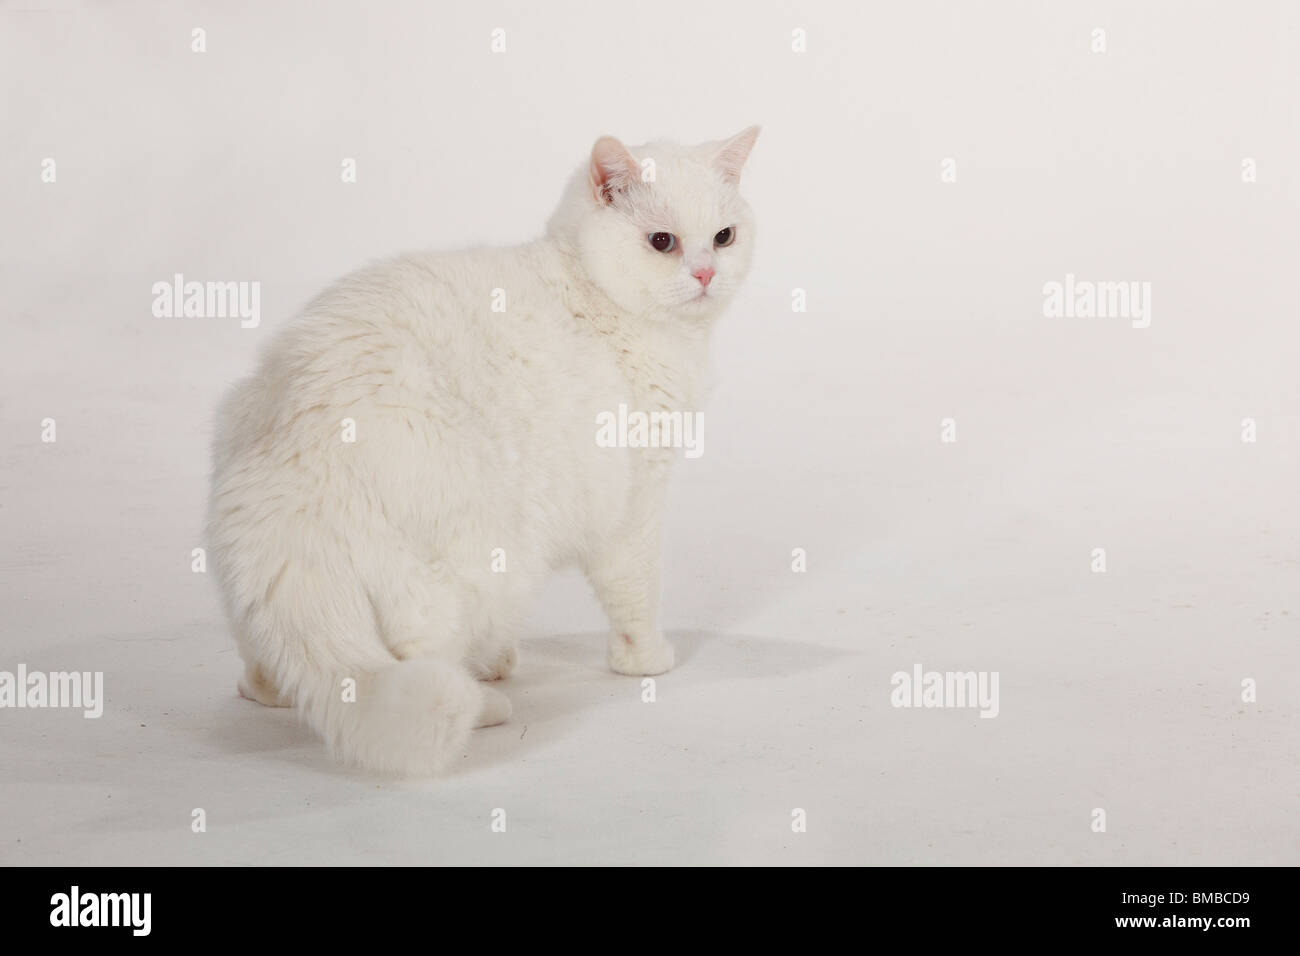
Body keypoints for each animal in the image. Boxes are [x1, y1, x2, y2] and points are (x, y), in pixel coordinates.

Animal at [208, 127, 759, 775]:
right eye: (662, 242)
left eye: (724, 237)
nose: (705, 274)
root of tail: (297, 463)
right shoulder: (634, 503)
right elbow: (635, 593)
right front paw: (644, 661)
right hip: (477, 560)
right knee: (419, 654)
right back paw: (484, 703)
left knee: (270, 667)